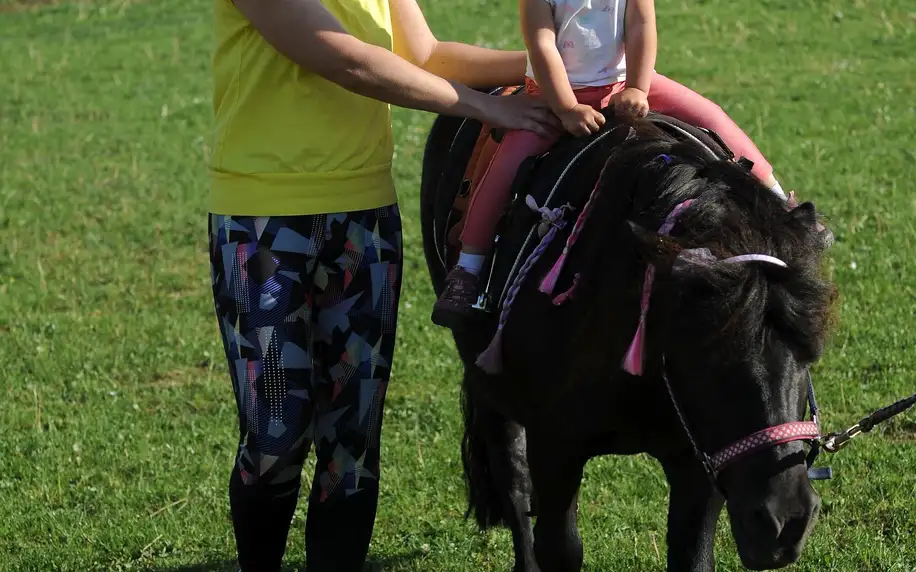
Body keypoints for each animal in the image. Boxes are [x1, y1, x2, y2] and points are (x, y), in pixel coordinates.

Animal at [420, 114, 836, 568]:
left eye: (808, 355)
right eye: (708, 357)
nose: (785, 520)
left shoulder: (697, 462)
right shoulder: (555, 449)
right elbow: (558, 546)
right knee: (513, 478)